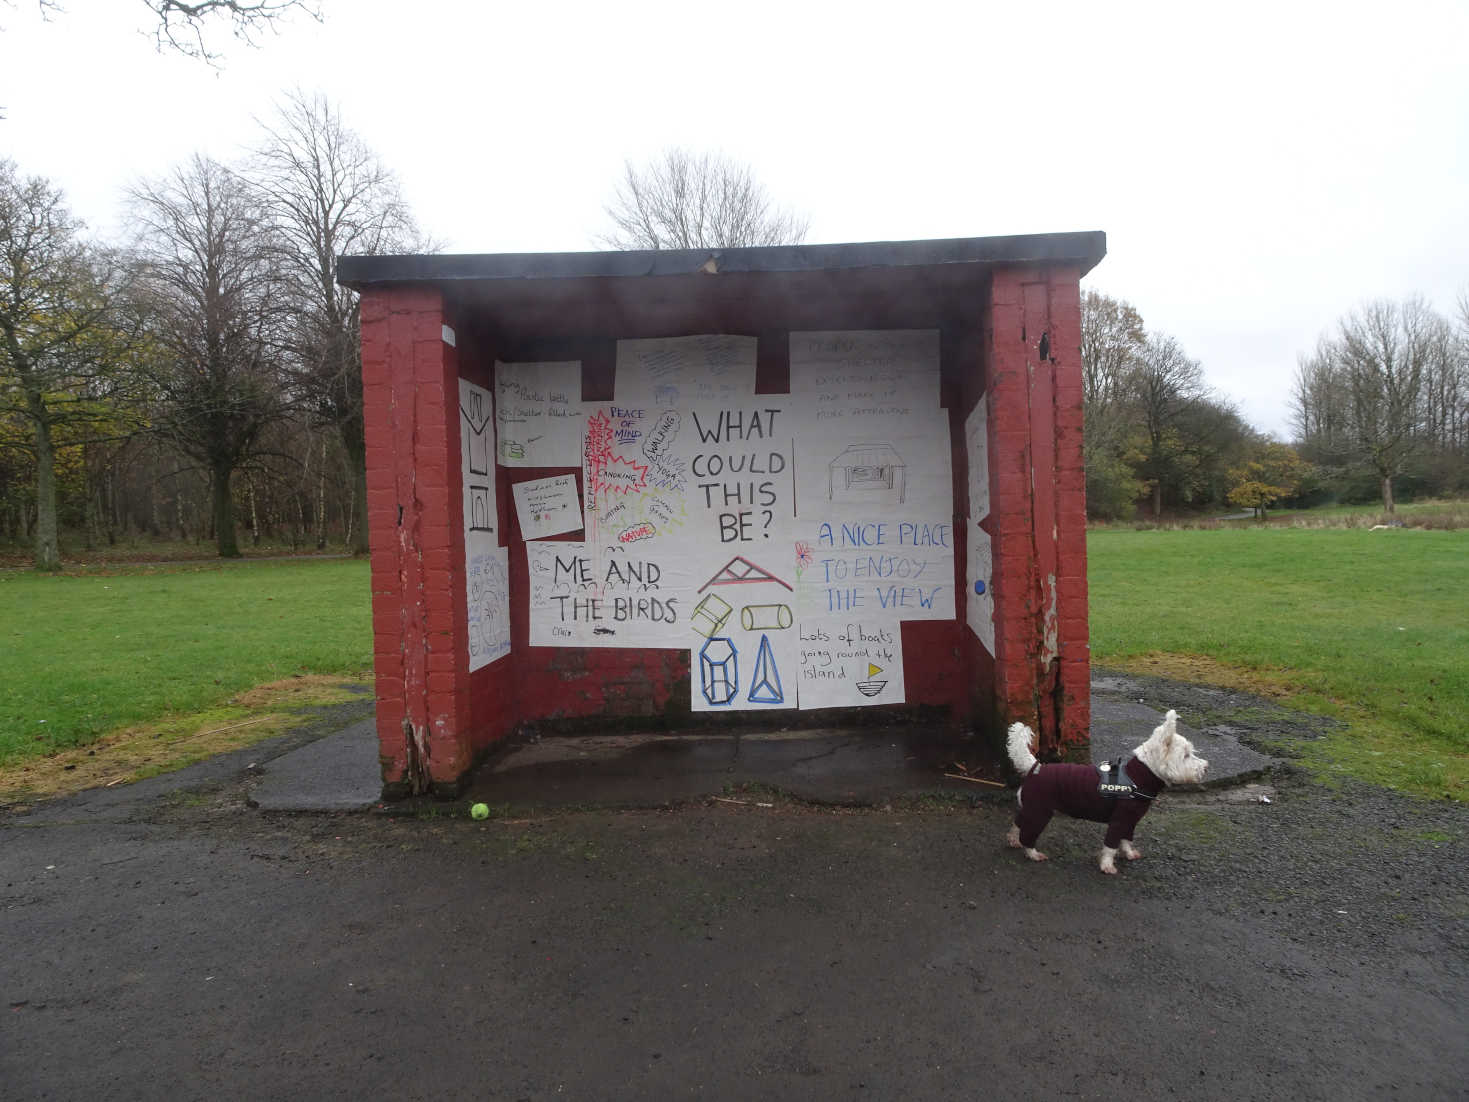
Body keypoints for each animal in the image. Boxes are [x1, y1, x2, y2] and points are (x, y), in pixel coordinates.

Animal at [1004, 711, 1210, 875]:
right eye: (1186, 755)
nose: (1206, 767)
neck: (1139, 777)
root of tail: (1034, 767)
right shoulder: (1119, 819)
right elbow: (1111, 845)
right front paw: (1107, 866)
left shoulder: (1130, 820)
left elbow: (1126, 840)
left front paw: (1129, 854)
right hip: (1040, 812)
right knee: (1027, 835)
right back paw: (1033, 853)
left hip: (1031, 808)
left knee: (1017, 824)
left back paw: (1013, 840)